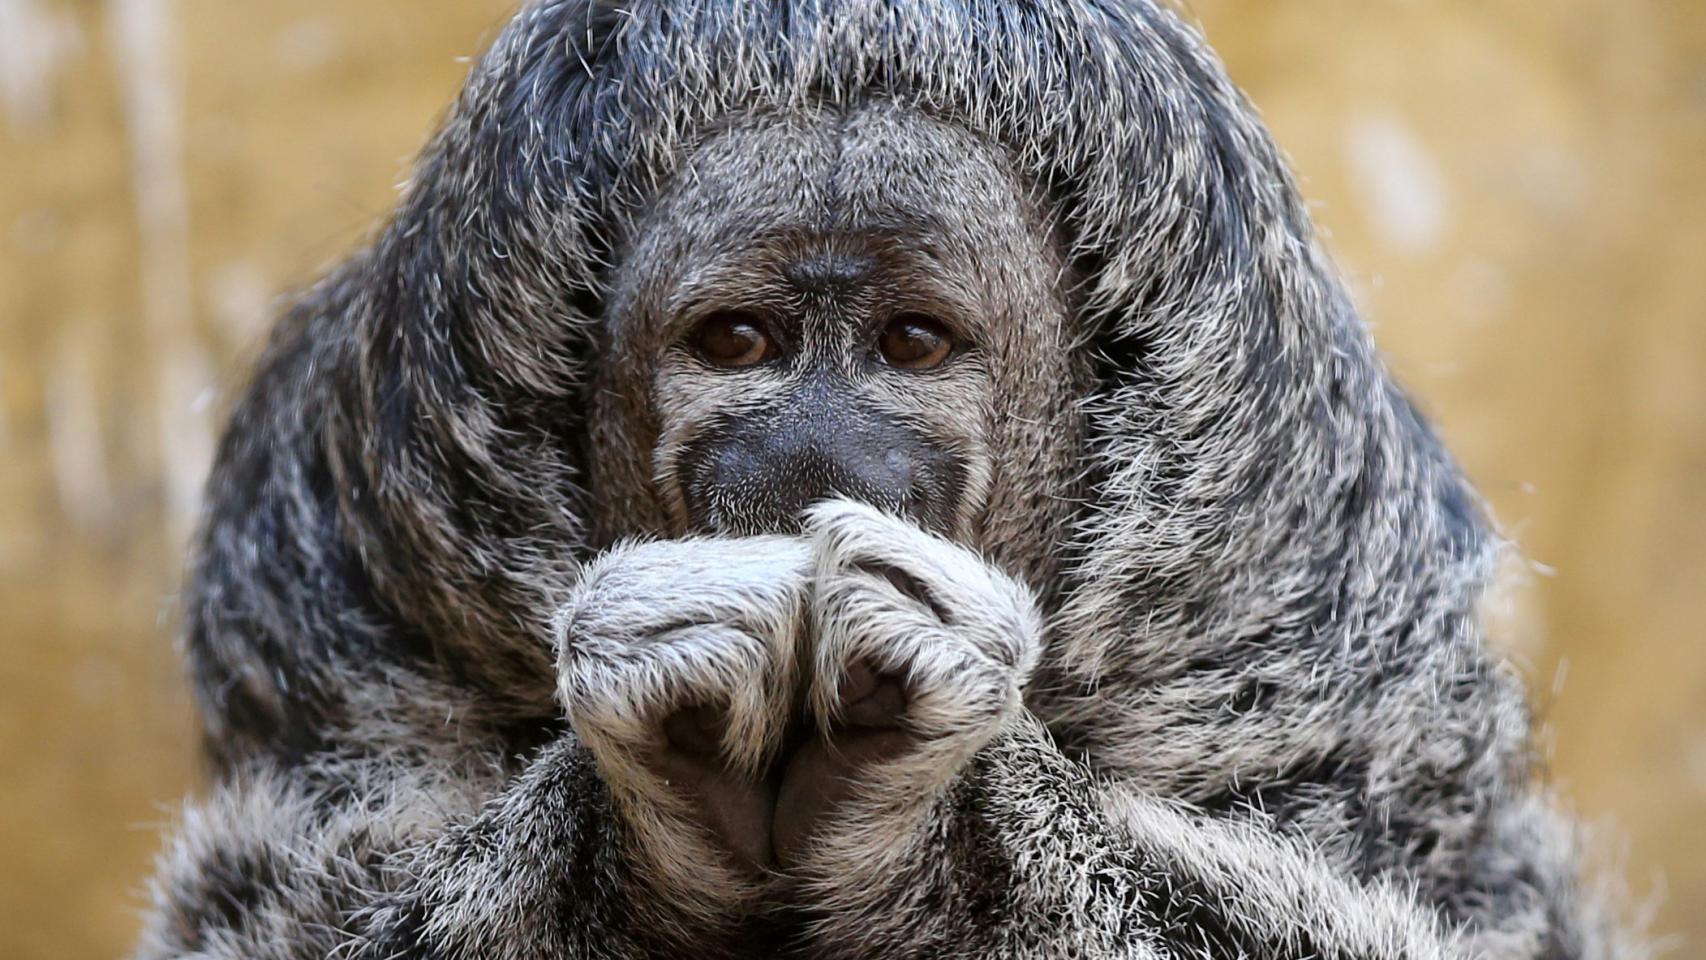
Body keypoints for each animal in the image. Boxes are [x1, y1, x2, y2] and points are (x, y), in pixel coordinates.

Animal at [136, 1, 1637, 960]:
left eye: (909, 344)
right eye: (739, 343)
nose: (815, 448)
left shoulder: (1330, 684)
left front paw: (927, 803)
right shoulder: (344, 626)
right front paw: (669, 783)